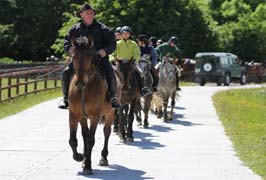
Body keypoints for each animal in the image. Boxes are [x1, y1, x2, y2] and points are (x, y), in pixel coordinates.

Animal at [68, 35, 119, 175]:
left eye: (90, 56)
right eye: (74, 56)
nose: (80, 83)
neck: (85, 88)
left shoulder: (95, 116)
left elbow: (91, 140)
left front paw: (87, 166)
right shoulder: (74, 115)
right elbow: (73, 140)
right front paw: (80, 157)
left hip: (110, 113)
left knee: (106, 132)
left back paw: (103, 158)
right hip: (83, 117)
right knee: (84, 135)